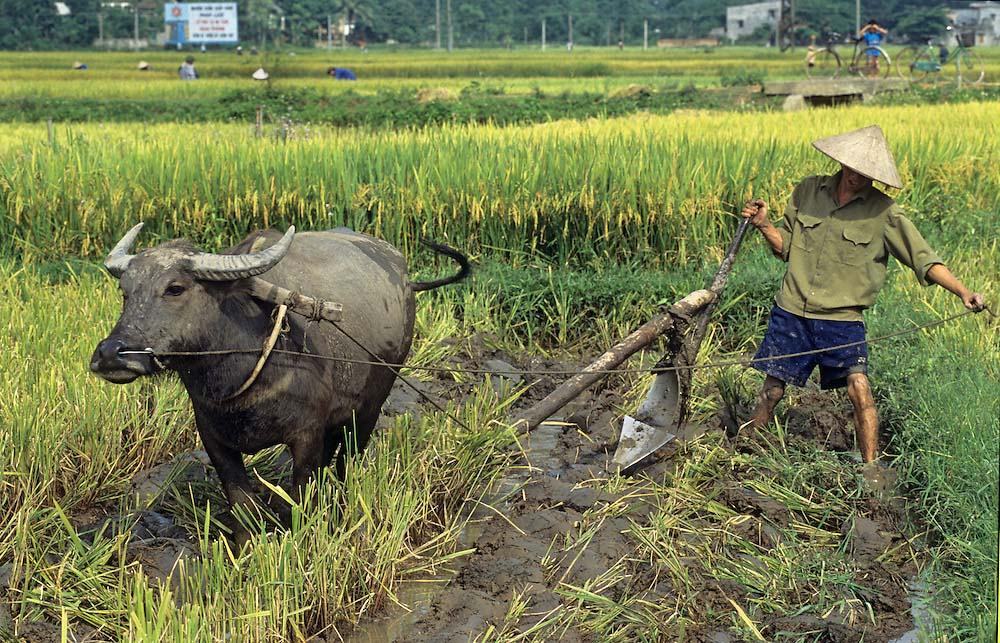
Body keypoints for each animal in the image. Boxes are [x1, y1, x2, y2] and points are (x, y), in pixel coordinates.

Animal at [92, 226, 466, 528]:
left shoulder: (306, 435)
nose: (111, 354)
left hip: (369, 409)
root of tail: (404, 275)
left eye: (175, 288)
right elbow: (242, 506)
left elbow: (299, 498)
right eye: (126, 291)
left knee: (347, 462)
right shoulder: (214, 439)